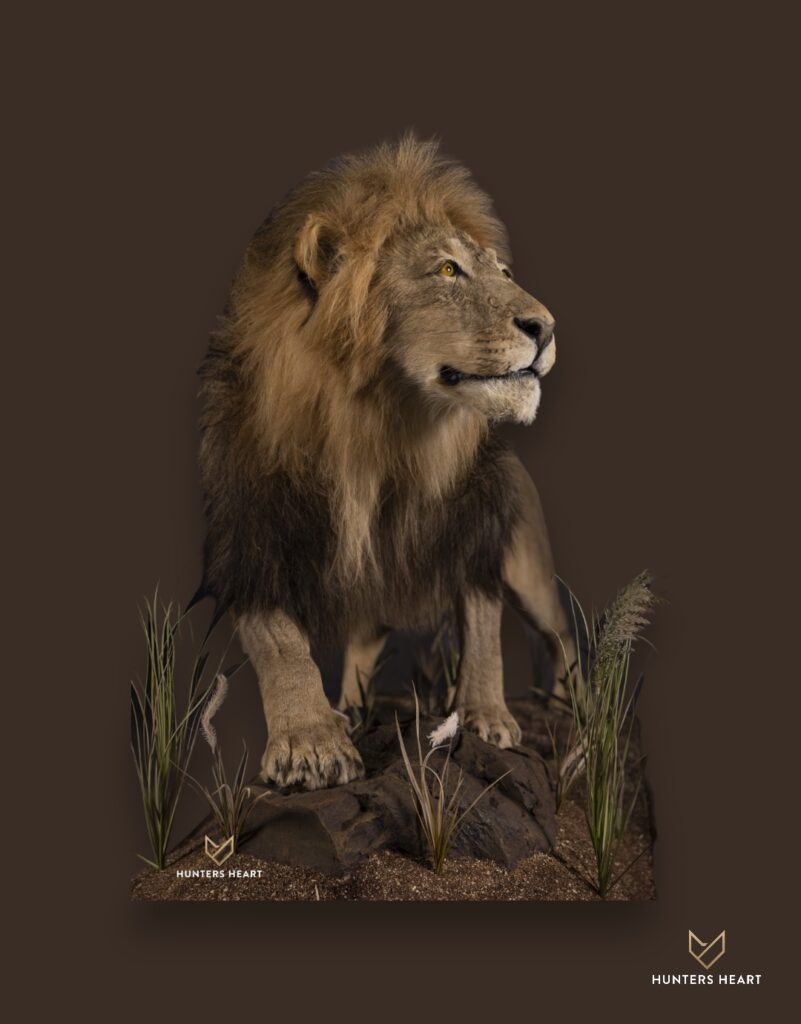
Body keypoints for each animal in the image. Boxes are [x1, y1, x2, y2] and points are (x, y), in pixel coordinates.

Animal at [198, 136, 578, 790]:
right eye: (447, 270)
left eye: (504, 273)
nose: (547, 327)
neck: (381, 430)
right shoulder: (251, 539)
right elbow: (280, 641)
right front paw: (311, 739)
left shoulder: (473, 531)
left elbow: (483, 629)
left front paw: (485, 716)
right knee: (362, 644)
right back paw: (350, 709)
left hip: (531, 573)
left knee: (562, 638)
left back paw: (577, 716)